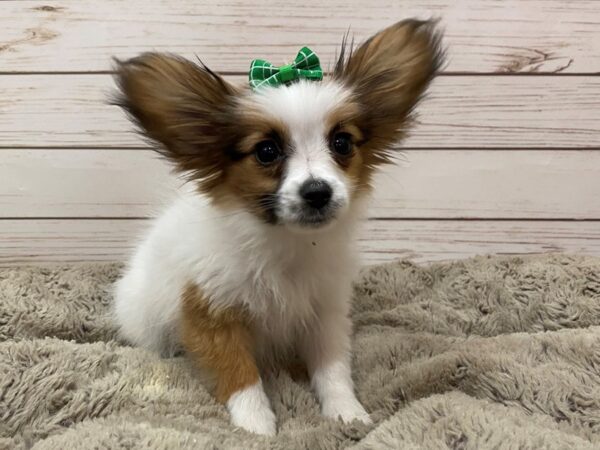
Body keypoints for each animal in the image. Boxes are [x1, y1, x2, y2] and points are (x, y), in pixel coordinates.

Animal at [112, 19, 442, 434]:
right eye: (266, 151)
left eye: (342, 143)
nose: (317, 192)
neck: (288, 245)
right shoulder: (211, 315)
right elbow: (240, 376)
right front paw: (255, 427)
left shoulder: (325, 312)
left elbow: (332, 368)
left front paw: (347, 413)